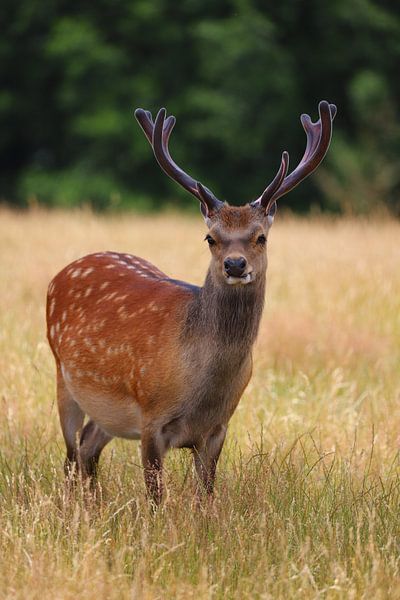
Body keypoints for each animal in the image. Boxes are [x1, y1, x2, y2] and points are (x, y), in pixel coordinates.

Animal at [46, 101, 334, 504]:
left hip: (107, 412)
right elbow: (156, 499)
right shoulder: (151, 417)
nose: (234, 264)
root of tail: (64, 271)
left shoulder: (217, 428)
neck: (200, 386)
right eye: (210, 237)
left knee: (88, 446)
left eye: (260, 237)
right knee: (71, 455)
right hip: (63, 377)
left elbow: (205, 498)